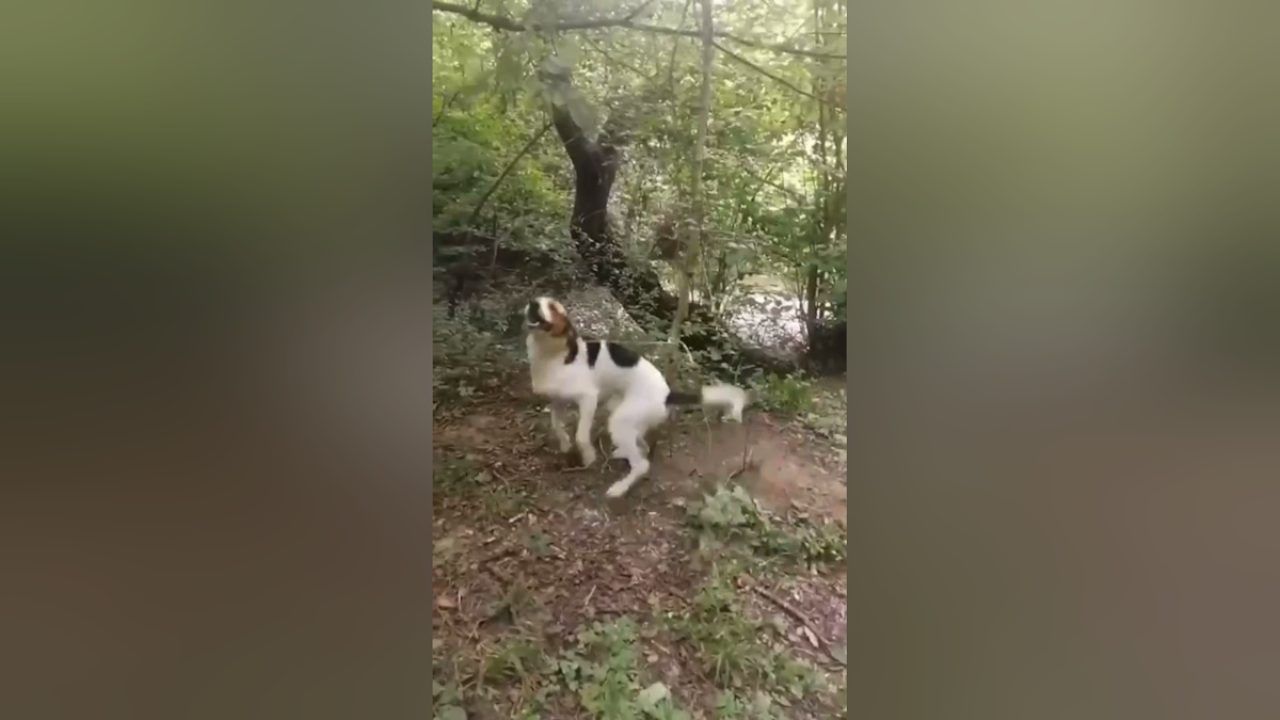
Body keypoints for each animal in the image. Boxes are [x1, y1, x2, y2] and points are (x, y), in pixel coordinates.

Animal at [522, 294, 747, 497]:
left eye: (552, 306)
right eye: (536, 300)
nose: (532, 304)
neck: (553, 355)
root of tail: (666, 393)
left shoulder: (588, 399)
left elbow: (581, 435)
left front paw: (588, 456)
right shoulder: (557, 401)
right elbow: (557, 426)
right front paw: (565, 444)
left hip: (620, 419)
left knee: (642, 464)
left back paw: (620, 487)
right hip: (622, 413)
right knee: (642, 447)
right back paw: (622, 453)